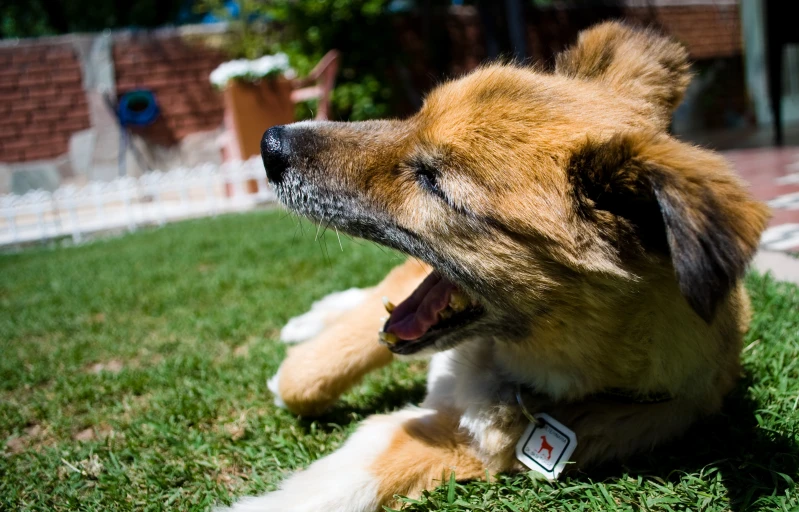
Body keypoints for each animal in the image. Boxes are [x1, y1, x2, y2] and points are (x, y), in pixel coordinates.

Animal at [223, 21, 768, 512]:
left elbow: (356, 473)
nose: (270, 145)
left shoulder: (475, 446)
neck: (507, 363)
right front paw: (297, 365)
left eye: (435, 182)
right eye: (413, 117)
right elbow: (308, 375)